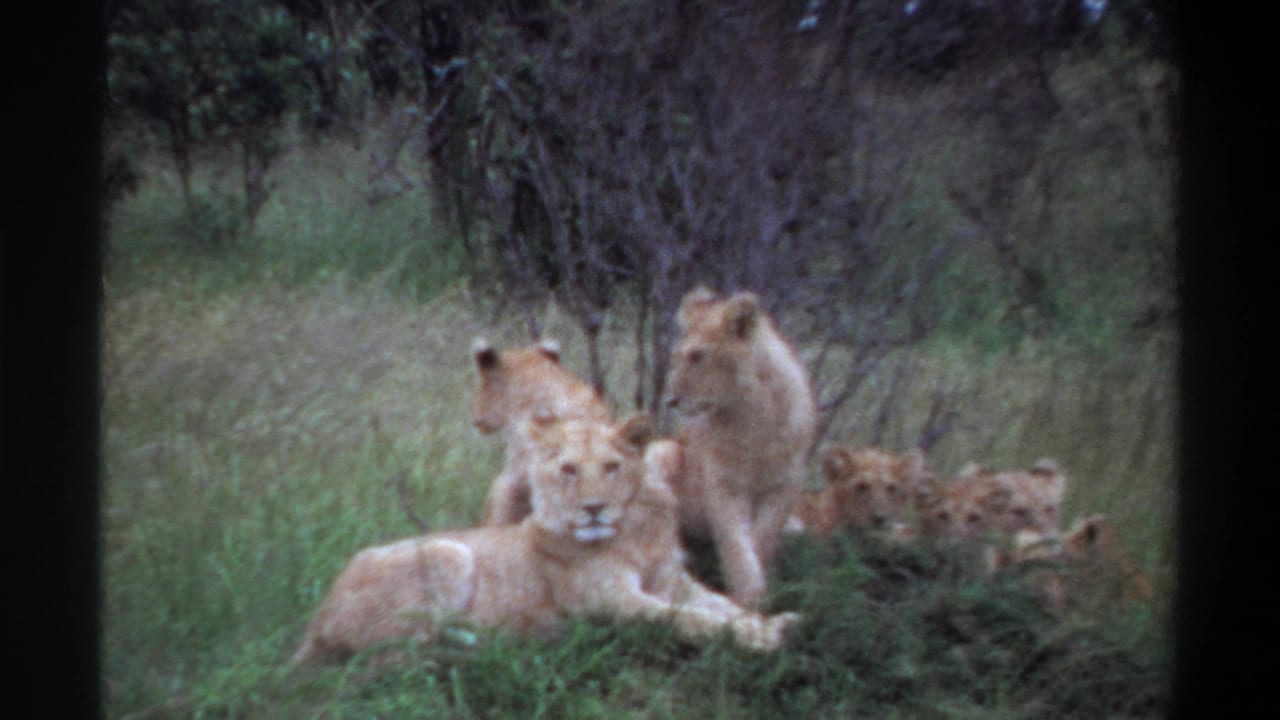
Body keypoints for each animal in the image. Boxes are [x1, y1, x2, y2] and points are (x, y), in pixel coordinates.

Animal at [291, 414, 799, 664]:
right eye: (568, 469)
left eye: (611, 467)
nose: (593, 508)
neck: (633, 535)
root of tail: (316, 619)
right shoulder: (611, 601)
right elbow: (690, 620)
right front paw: (762, 638)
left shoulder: (672, 581)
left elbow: (721, 605)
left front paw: (774, 622)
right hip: (447, 552)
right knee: (398, 653)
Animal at [663, 287, 817, 608]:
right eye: (677, 357)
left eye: (697, 356)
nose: (670, 400)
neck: (750, 416)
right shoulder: (723, 486)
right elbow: (735, 543)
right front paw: (748, 597)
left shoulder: (785, 485)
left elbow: (762, 538)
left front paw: (760, 589)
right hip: (666, 451)